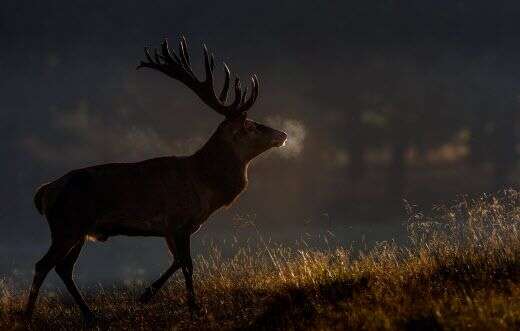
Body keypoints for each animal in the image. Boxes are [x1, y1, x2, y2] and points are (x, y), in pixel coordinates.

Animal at [24, 35, 288, 324]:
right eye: (250, 127)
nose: (283, 134)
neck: (204, 185)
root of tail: (44, 192)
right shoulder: (178, 221)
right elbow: (187, 265)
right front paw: (194, 307)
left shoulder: (172, 229)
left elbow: (177, 261)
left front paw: (145, 295)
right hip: (67, 225)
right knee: (43, 264)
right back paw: (28, 314)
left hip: (78, 231)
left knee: (64, 268)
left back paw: (89, 314)